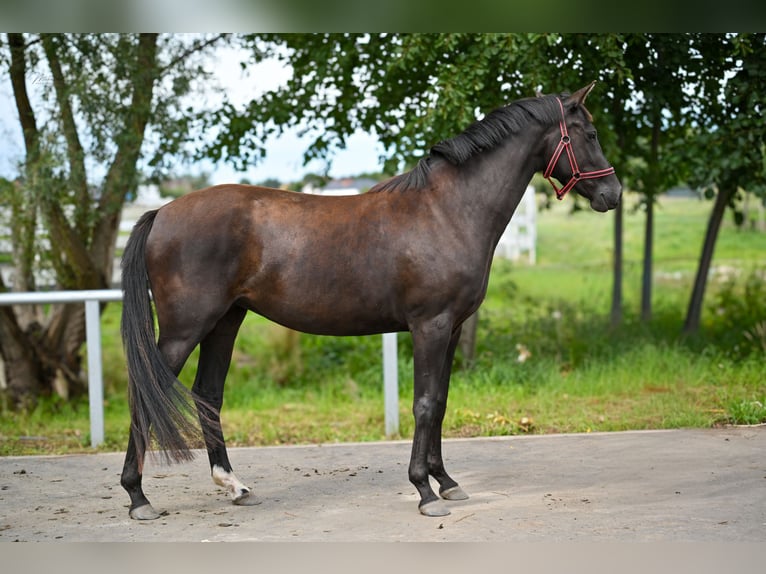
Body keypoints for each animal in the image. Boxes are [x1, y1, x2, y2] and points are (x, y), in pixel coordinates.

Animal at [119, 82, 621, 520]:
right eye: (590, 133)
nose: (612, 193)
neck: (448, 210)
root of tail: (161, 212)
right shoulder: (430, 325)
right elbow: (424, 404)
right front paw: (424, 491)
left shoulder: (452, 328)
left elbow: (440, 401)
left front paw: (446, 482)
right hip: (186, 328)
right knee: (145, 394)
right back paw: (138, 498)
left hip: (226, 321)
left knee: (208, 395)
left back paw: (235, 486)